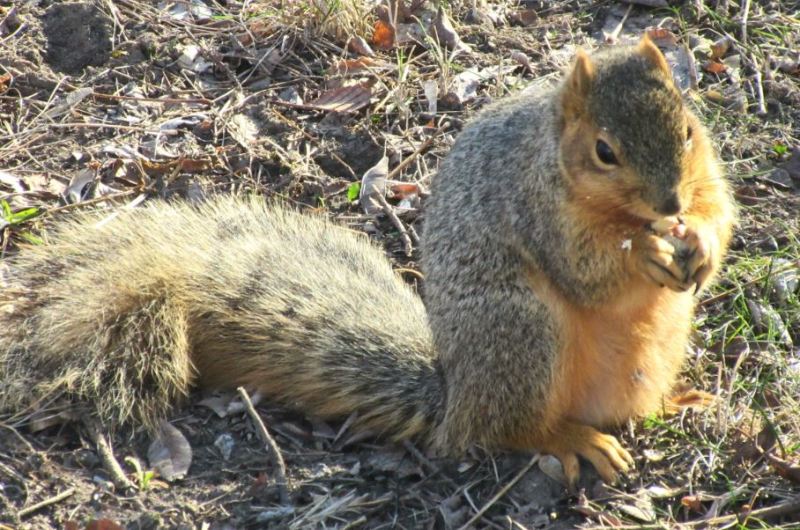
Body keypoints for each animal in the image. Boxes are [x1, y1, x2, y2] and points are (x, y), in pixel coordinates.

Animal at [0, 37, 735, 488]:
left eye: (688, 129)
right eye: (605, 151)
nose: (668, 201)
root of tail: (456, 398)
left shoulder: (703, 176)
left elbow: (721, 209)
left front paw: (697, 240)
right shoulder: (537, 204)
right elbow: (585, 266)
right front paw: (644, 252)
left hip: (656, 346)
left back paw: (682, 400)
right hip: (522, 335)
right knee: (510, 429)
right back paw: (571, 438)